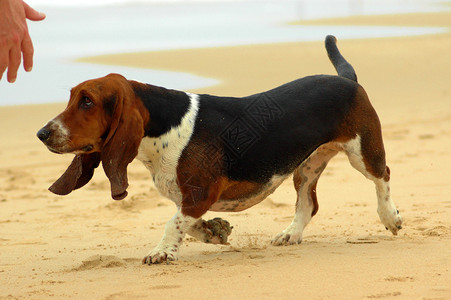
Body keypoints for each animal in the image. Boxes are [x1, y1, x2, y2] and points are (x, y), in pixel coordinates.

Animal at [36, 35, 402, 264]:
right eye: (72, 97)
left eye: (87, 101)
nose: (42, 133)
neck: (164, 126)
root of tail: (347, 79)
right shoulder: (189, 199)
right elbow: (186, 222)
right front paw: (214, 232)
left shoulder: (200, 193)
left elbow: (172, 223)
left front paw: (162, 252)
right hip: (306, 166)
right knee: (307, 204)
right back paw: (290, 234)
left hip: (362, 152)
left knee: (382, 176)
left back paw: (390, 217)